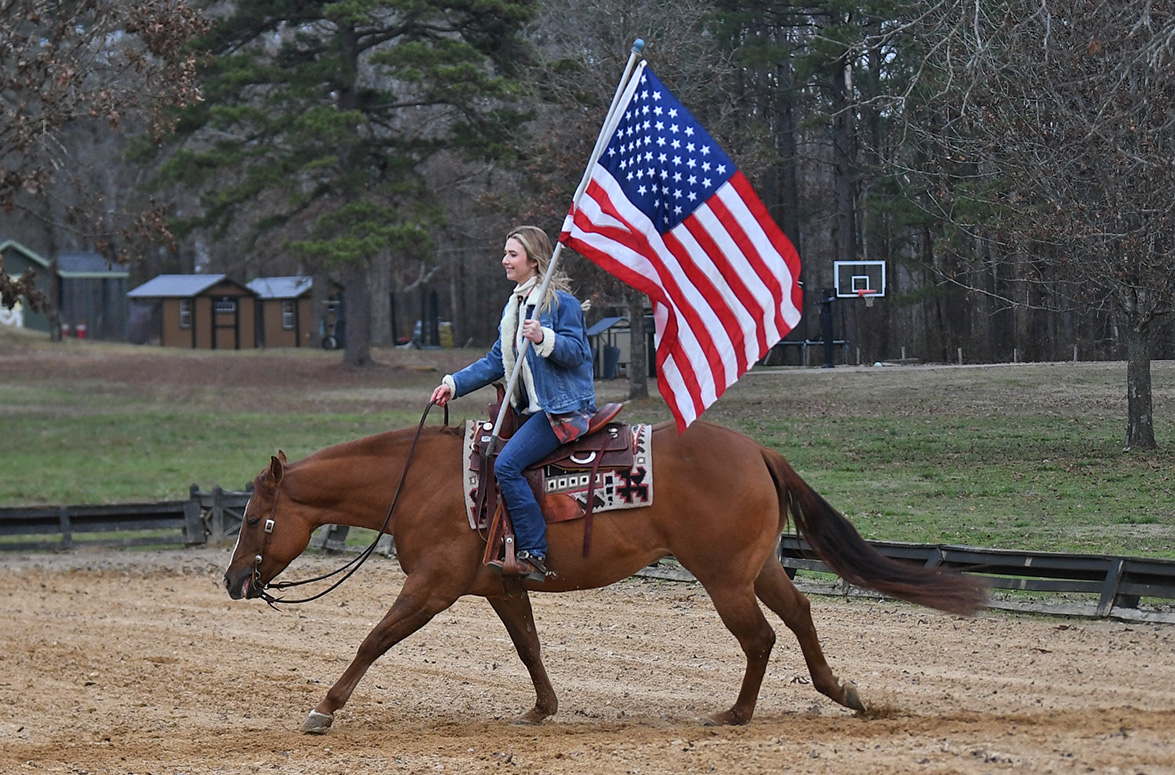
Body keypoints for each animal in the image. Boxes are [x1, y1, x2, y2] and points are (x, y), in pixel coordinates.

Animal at [220, 420, 982, 728]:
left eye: (255, 519)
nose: (231, 582)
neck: (425, 484)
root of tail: (756, 449)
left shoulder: (432, 588)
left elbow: (375, 639)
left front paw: (324, 707)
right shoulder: (500, 586)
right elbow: (528, 646)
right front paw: (542, 707)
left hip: (723, 577)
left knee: (759, 637)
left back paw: (735, 714)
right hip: (756, 566)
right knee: (796, 615)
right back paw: (842, 691)